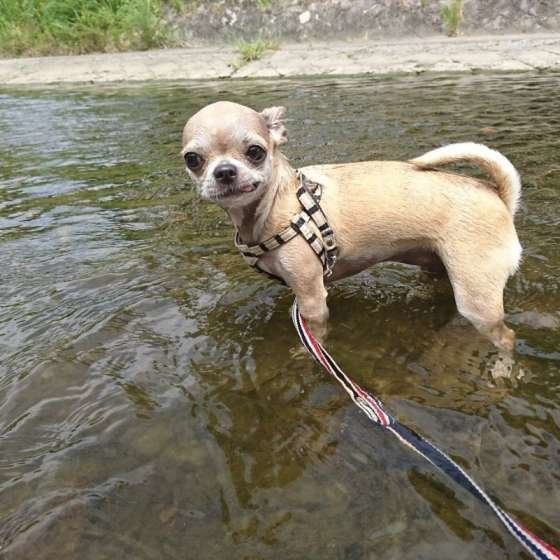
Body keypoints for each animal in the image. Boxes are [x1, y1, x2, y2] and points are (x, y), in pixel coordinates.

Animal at [182, 101, 524, 350]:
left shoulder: (311, 298)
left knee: (506, 336)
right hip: (438, 266)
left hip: (476, 299)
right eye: (192, 159)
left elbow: (315, 337)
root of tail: (498, 195)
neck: (275, 205)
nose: (225, 171)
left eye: (255, 152)